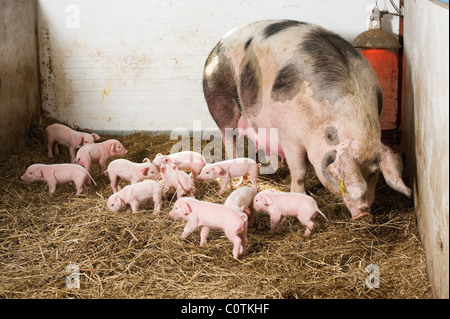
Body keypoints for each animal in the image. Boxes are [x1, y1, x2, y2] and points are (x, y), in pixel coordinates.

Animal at [204, 19, 412, 220]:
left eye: (374, 174)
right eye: (341, 179)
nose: (364, 213)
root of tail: (219, 44)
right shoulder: (288, 135)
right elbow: (300, 171)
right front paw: (299, 194)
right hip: (219, 102)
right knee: (230, 141)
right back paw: (235, 182)